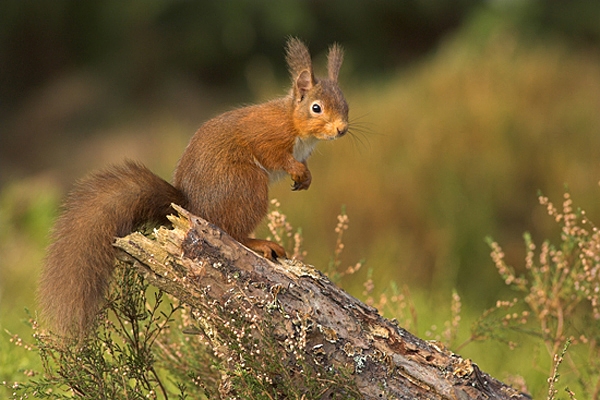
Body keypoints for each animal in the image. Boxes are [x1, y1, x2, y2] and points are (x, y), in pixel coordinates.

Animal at [38, 36, 346, 338]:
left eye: (345, 104)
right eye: (316, 108)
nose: (342, 129)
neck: (294, 123)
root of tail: (191, 206)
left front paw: (306, 178)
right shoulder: (267, 135)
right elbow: (275, 156)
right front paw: (297, 170)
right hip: (246, 185)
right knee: (231, 230)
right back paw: (258, 242)